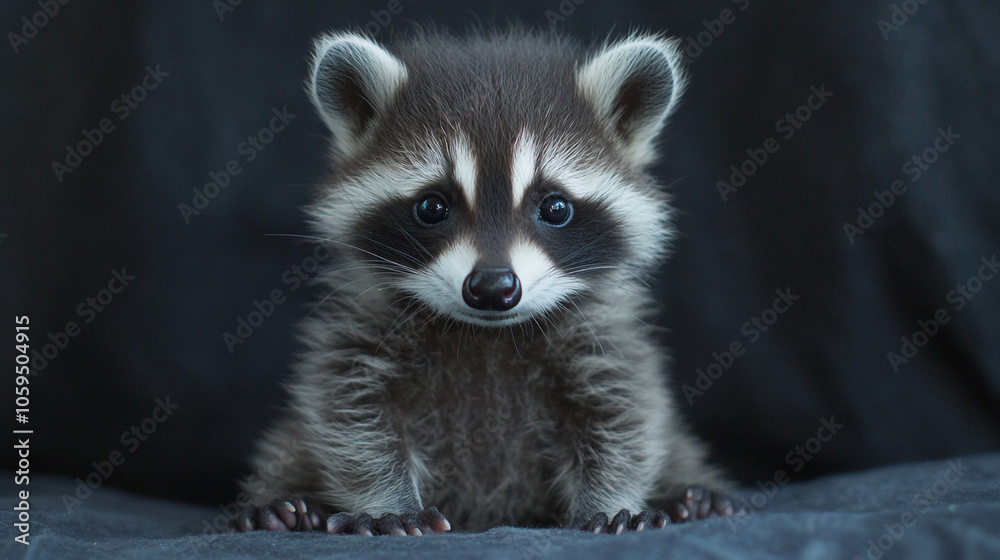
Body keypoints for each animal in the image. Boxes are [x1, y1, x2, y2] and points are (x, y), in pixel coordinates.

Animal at [230, 28, 736, 536]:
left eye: (555, 208)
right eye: (432, 207)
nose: (493, 287)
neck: (487, 333)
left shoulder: (602, 338)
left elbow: (623, 414)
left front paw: (611, 500)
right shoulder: (362, 328)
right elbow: (353, 415)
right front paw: (386, 501)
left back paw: (690, 494)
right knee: (290, 443)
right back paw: (284, 500)